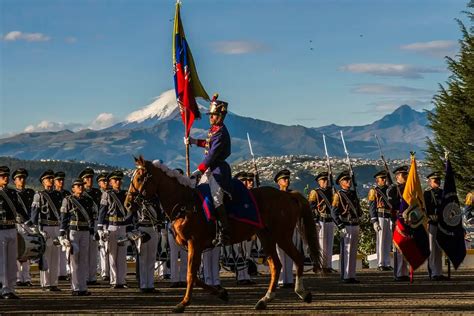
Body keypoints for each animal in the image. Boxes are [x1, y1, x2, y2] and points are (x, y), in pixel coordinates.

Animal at [125, 156, 322, 312]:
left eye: (140, 177)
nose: (128, 203)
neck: (184, 203)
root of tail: (288, 196)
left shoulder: (195, 244)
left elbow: (190, 275)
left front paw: (183, 303)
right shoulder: (192, 247)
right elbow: (195, 276)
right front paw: (221, 293)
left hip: (281, 236)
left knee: (296, 258)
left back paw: (301, 292)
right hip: (267, 237)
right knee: (277, 265)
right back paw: (266, 299)